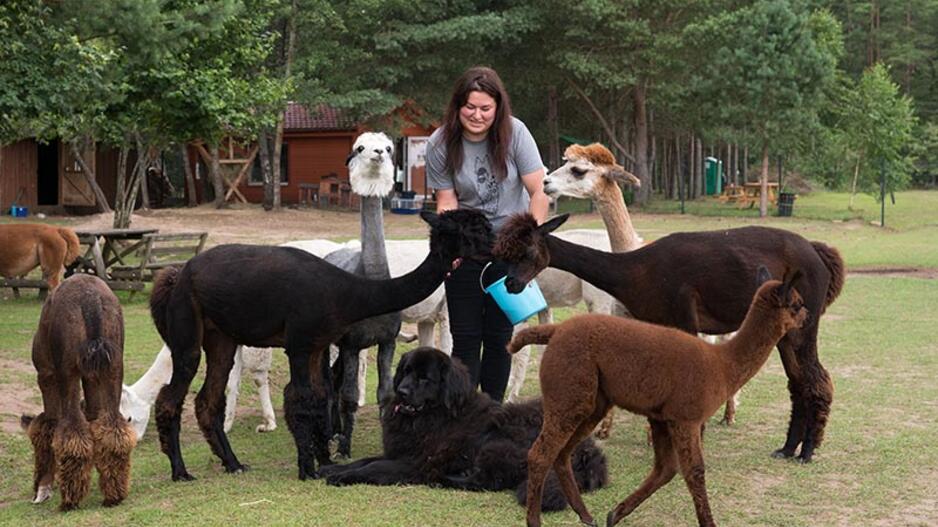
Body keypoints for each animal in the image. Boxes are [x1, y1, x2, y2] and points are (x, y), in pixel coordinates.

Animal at [320, 347, 608, 511]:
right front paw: (331, 468)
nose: (401, 392)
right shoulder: (398, 452)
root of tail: (589, 452)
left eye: (425, 378)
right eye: (406, 370)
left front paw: (342, 476)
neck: (432, 416)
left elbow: (372, 467)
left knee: (488, 481)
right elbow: (365, 460)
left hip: (496, 442)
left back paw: (445, 479)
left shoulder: (414, 463)